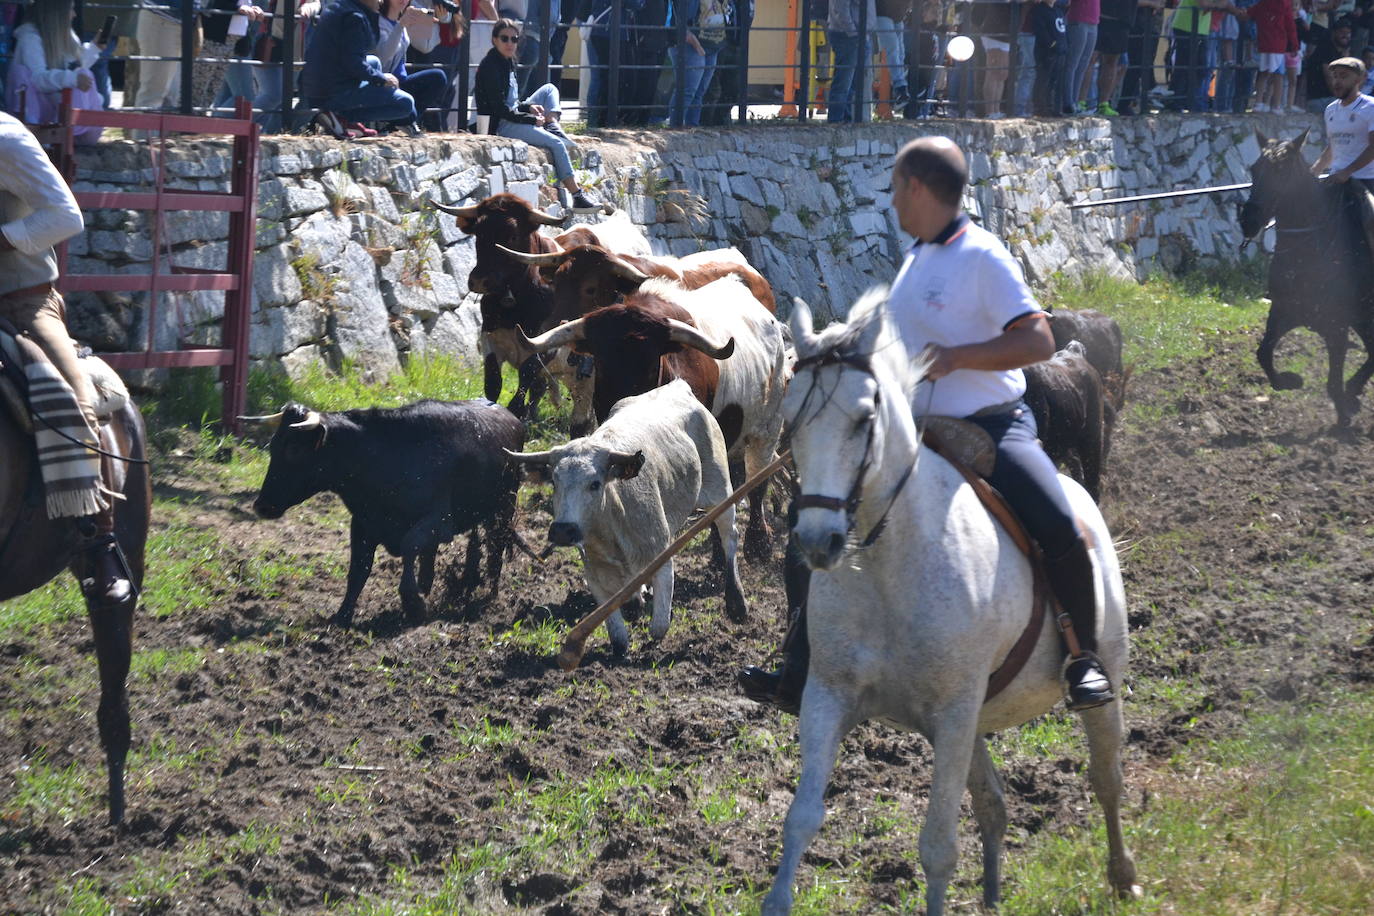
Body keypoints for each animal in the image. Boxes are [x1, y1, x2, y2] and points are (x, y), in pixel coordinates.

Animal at [505, 381, 747, 659]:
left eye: (595, 483)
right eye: (554, 482)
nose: (563, 530)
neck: (612, 525)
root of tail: (677, 387)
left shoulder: (659, 552)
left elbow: (659, 626)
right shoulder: (595, 570)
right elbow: (617, 632)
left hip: (721, 491)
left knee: (729, 537)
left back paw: (736, 601)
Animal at [763, 289, 1137, 916]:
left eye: (864, 418)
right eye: (789, 419)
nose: (817, 540)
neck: (888, 567)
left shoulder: (955, 711)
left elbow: (937, 844)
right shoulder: (829, 697)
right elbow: (801, 817)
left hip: (1092, 679)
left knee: (1105, 777)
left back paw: (1123, 875)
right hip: (968, 723)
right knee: (993, 803)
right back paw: (991, 894)